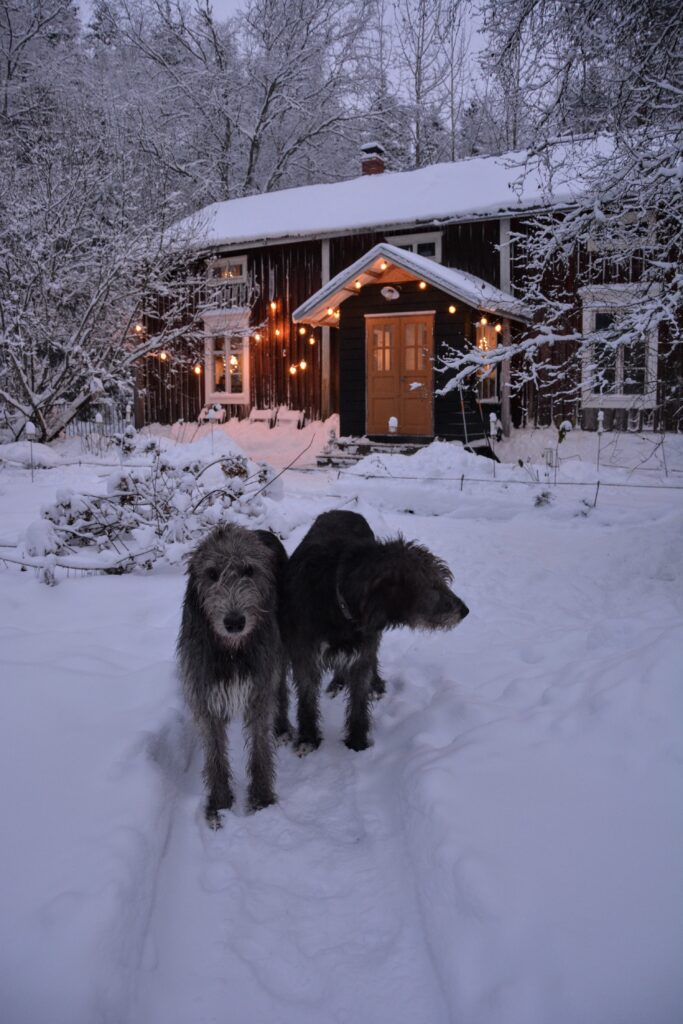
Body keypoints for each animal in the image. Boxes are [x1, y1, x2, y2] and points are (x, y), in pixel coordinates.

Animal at [178, 524, 290, 827]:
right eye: (212, 573)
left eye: (249, 570)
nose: (234, 622)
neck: (232, 651)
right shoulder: (205, 692)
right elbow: (215, 752)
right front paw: (219, 803)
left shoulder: (261, 685)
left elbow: (260, 746)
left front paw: (262, 798)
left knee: (282, 689)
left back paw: (283, 726)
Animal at [284, 509, 471, 753]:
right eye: (431, 585)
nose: (465, 610)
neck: (338, 604)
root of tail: (344, 510)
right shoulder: (305, 655)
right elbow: (306, 696)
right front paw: (308, 738)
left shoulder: (363, 648)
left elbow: (359, 698)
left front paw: (357, 742)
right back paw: (338, 682)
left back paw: (374, 683)